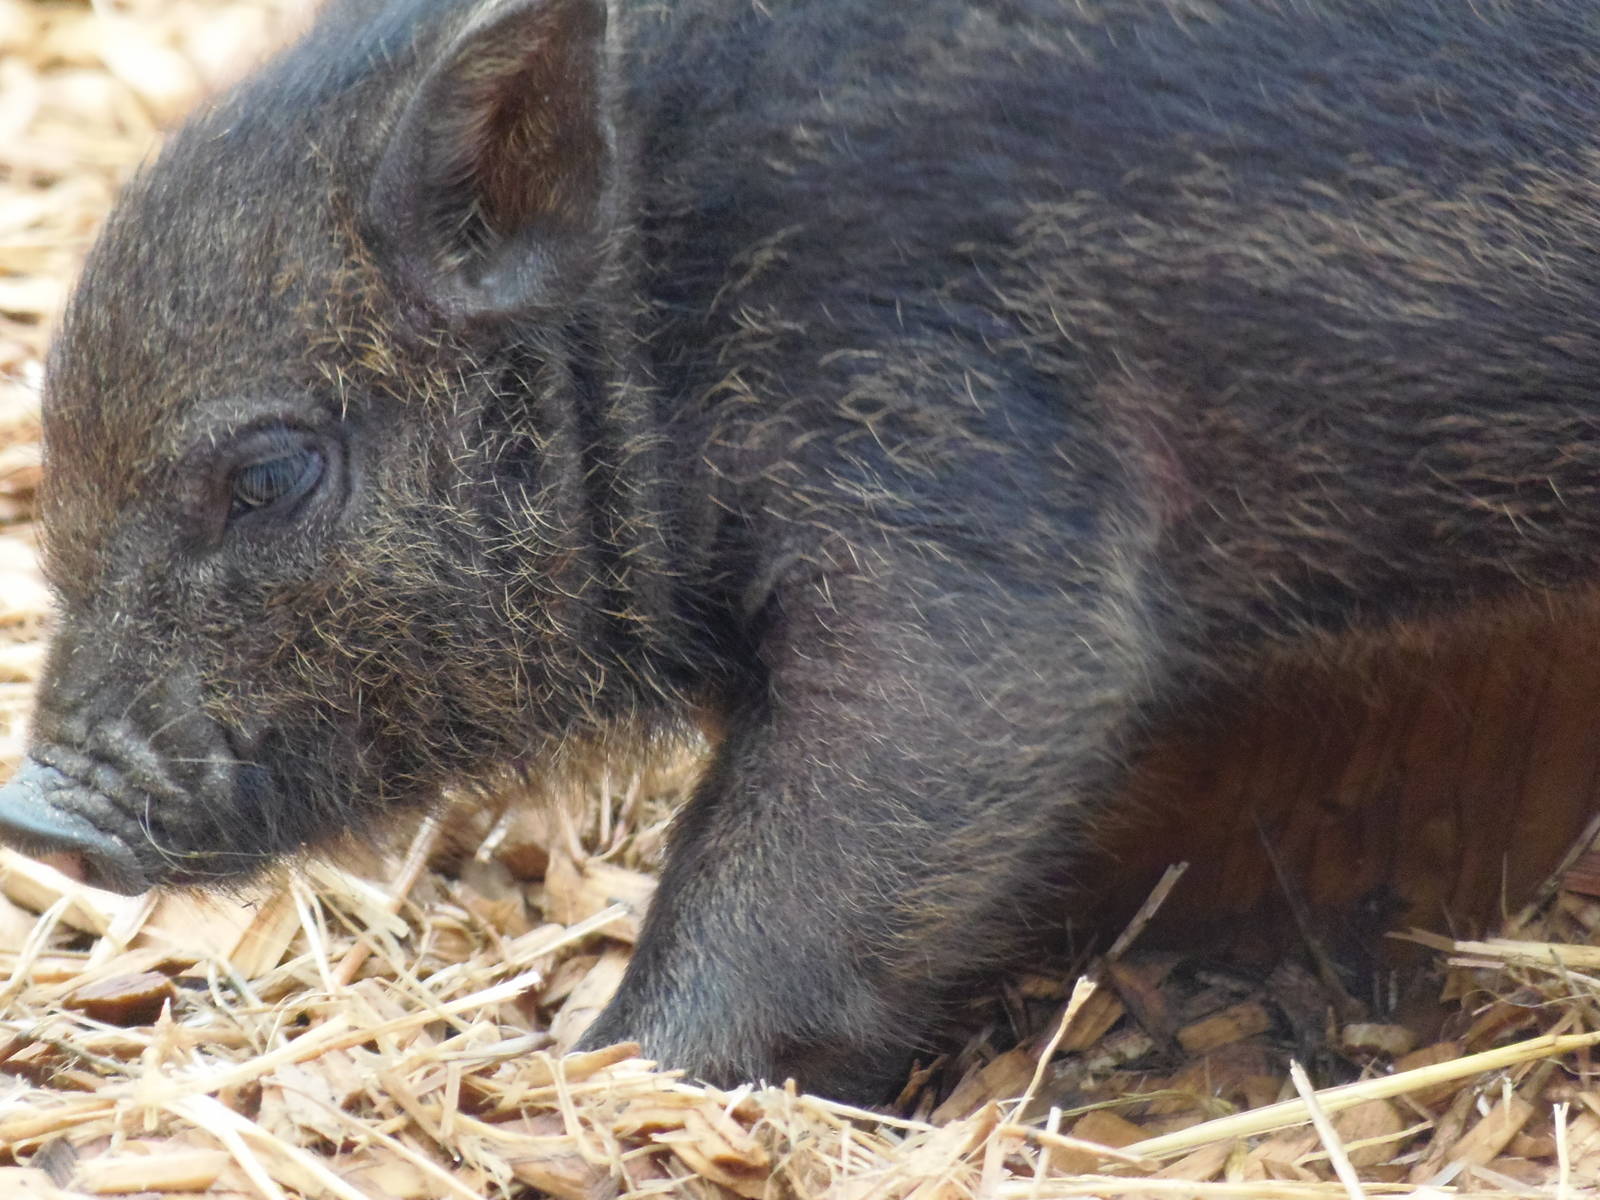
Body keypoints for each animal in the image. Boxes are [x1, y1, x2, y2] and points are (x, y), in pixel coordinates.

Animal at [5, 0, 1600, 1100]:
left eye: (269, 473)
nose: (38, 811)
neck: (655, 313)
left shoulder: (954, 514)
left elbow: (814, 833)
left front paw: (603, 1071)